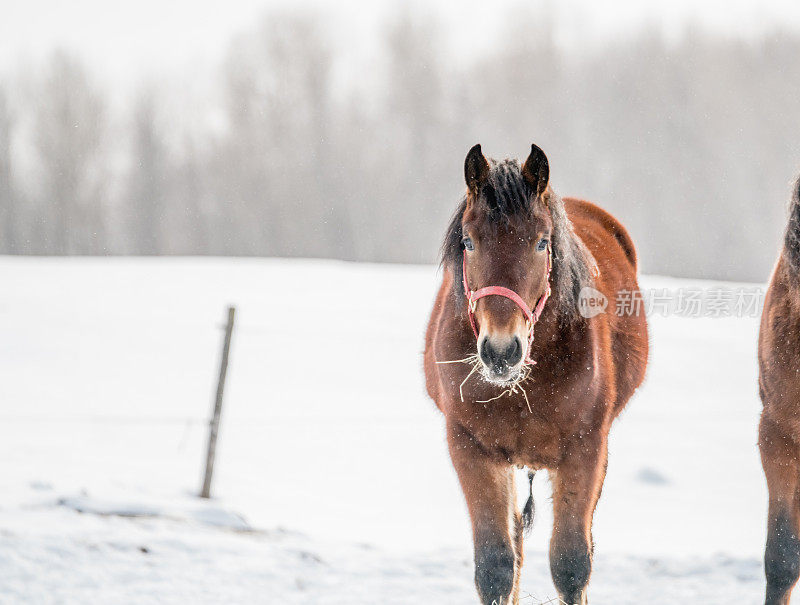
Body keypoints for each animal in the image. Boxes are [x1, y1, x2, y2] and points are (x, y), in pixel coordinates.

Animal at [422, 144, 648, 600]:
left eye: (542, 242)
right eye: (468, 242)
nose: (501, 351)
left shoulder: (587, 448)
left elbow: (571, 564)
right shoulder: (472, 449)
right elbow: (496, 566)